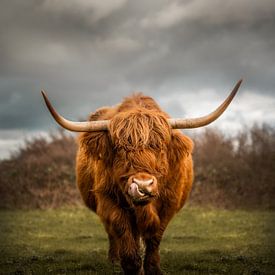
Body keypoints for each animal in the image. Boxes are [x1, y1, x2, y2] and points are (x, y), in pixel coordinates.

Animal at [41, 79, 244, 274]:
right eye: (119, 148)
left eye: (161, 147)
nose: (143, 185)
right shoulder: (108, 199)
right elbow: (122, 232)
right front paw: (132, 266)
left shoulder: (169, 204)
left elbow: (155, 237)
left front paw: (153, 268)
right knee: (112, 233)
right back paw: (114, 259)